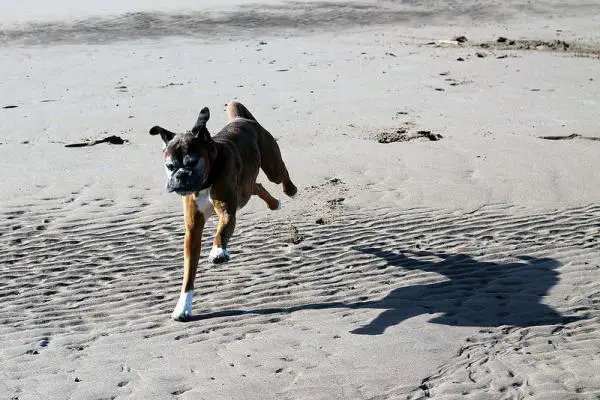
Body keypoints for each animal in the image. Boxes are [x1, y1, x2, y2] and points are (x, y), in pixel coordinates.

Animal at [149, 101, 296, 320]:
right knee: (257, 186)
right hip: (245, 189)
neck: (206, 181)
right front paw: (183, 307)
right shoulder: (192, 232)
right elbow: (188, 274)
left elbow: (221, 233)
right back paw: (273, 203)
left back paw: (290, 190)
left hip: (272, 167)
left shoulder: (227, 213)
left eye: (192, 162)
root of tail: (241, 120)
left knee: (281, 174)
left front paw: (218, 252)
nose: (180, 176)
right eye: (169, 166)